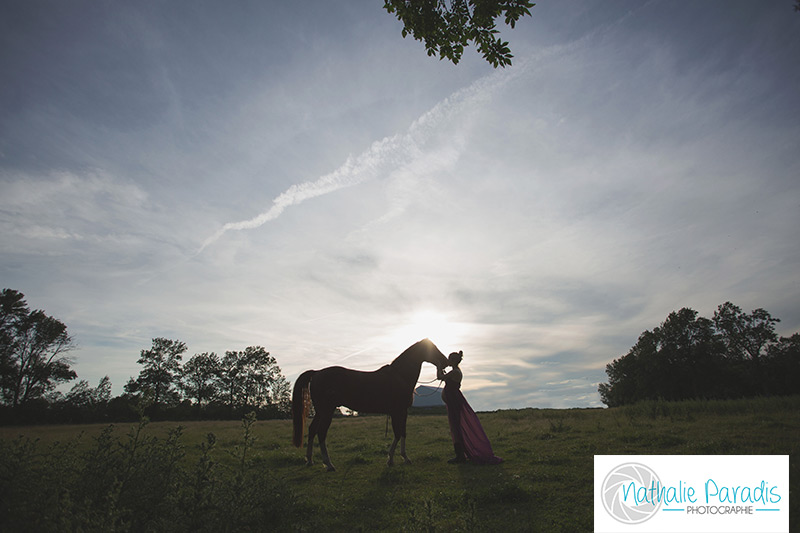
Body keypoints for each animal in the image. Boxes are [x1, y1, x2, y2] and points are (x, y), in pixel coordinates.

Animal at [292, 338, 450, 472]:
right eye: (433, 348)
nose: (446, 361)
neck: (399, 376)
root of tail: (317, 373)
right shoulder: (396, 411)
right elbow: (397, 433)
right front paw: (390, 460)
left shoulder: (403, 411)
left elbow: (403, 433)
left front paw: (405, 457)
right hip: (327, 411)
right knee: (321, 433)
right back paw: (329, 464)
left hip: (321, 411)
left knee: (312, 430)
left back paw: (310, 460)